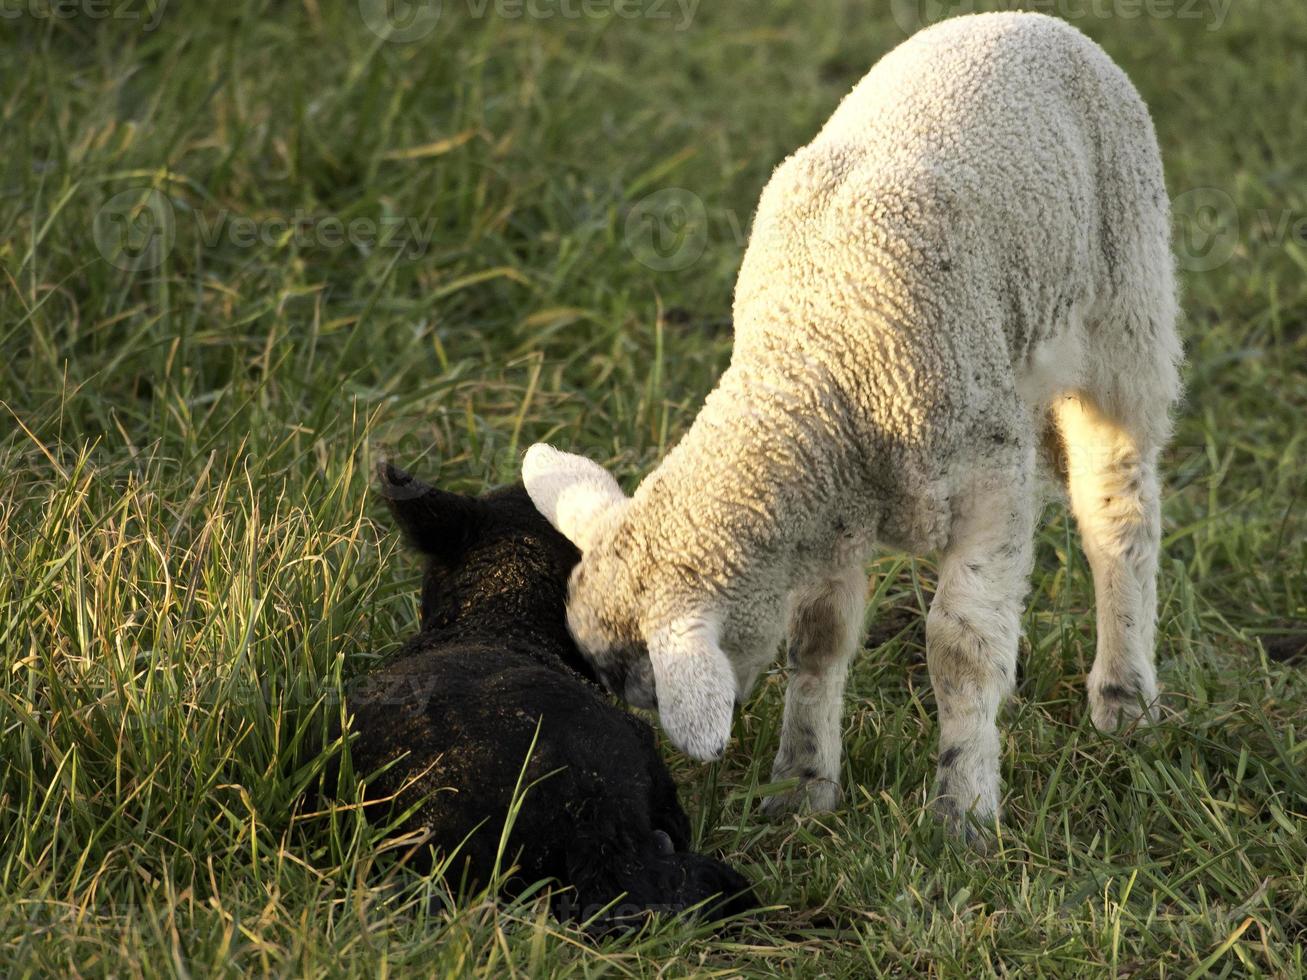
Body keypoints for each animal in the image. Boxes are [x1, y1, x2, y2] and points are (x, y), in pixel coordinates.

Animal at [520, 11, 1186, 841]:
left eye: (645, 692)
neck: (814, 360)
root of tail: (1020, 17)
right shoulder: (823, 513)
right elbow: (817, 640)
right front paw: (798, 786)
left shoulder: (990, 478)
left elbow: (960, 647)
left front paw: (963, 810)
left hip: (1126, 307)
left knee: (1117, 508)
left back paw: (1124, 694)